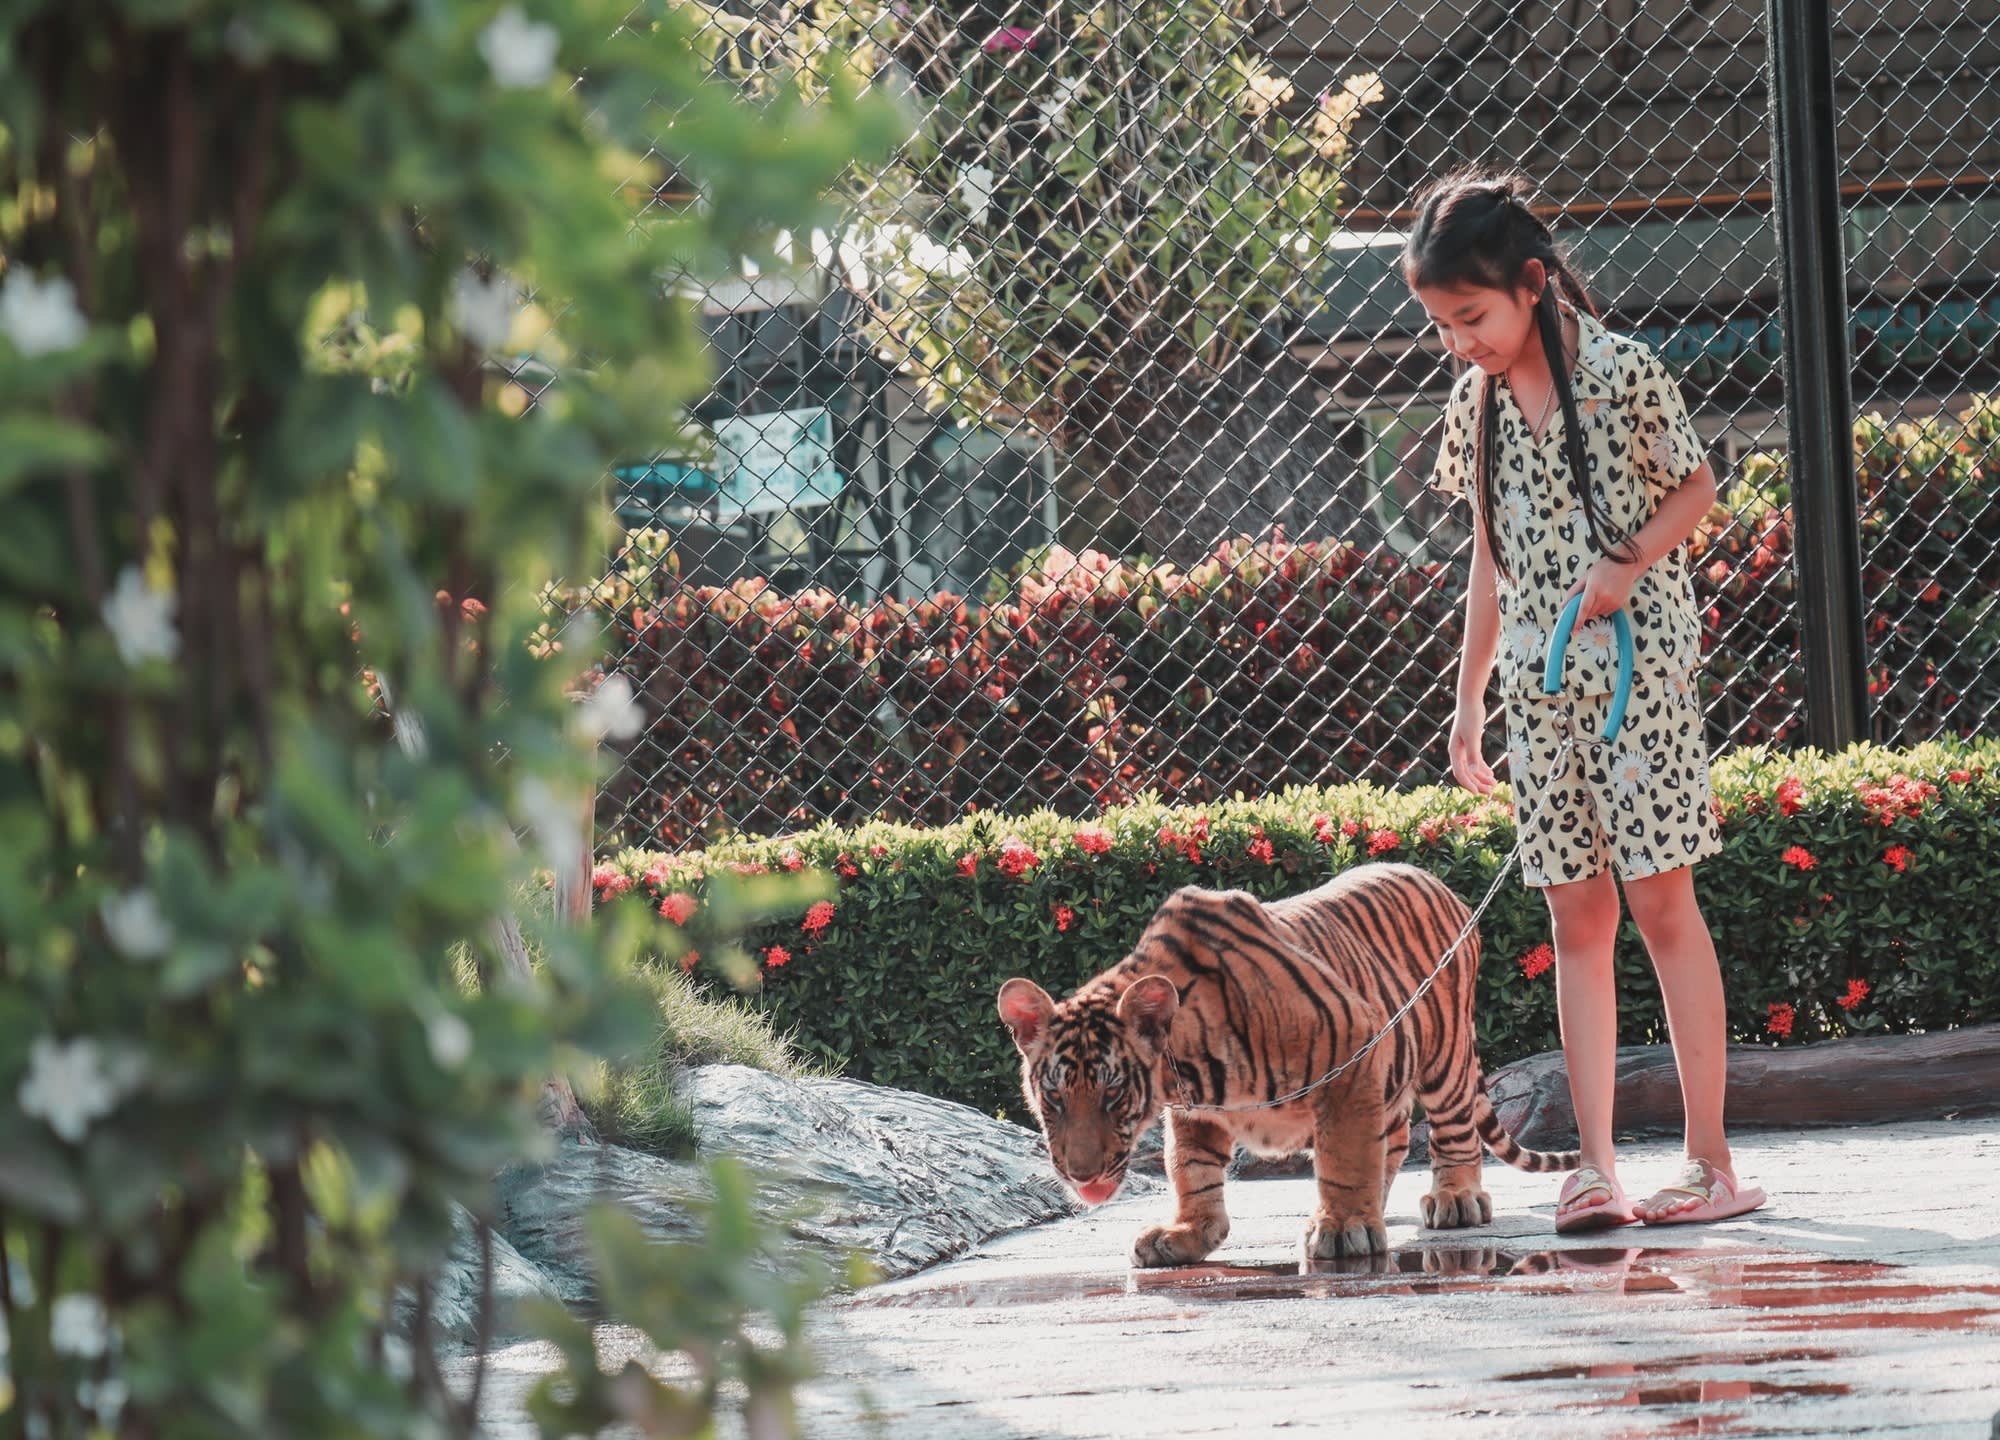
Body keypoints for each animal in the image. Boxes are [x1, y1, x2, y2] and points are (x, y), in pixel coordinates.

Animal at [996, 862, 1577, 1266]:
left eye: (1113, 1094)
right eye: (1054, 1097)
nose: (1081, 1174)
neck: (1183, 1068)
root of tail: (1441, 884)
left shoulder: (1353, 1050)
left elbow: (1343, 1154)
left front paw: (1341, 1227)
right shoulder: (1194, 1112)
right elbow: (1192, 1171)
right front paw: (1186, 1234)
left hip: (1443, 1052)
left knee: (1450, 1129)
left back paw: (1454, 1199)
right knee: (1391, 1136)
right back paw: (1380, 1202)